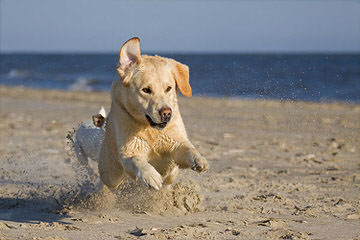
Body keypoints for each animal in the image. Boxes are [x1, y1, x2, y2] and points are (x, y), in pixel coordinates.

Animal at [98, 37, 210, 190]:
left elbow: (188, 148)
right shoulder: (128, 152)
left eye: (168, 88)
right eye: (146, 90)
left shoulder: (175, 143)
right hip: (110, 173)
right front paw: (150, 176)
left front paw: (199, 159)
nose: (166, 113)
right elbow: (136, 159)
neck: (151, 130)